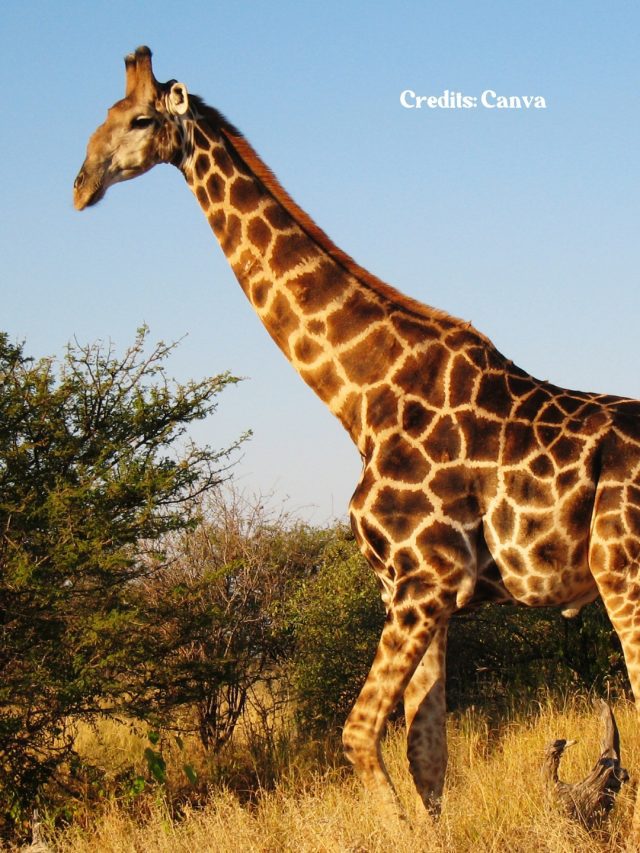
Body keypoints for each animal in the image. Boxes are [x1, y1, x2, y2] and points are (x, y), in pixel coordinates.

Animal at [74, 47, 640, 826]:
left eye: (136, 119)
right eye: (101, 114)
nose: (79, 186)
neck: (361, 396)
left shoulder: (427, 579)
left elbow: (358, 735)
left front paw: (394, 822)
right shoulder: (414, 589)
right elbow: (426, 754)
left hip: (623, 571)